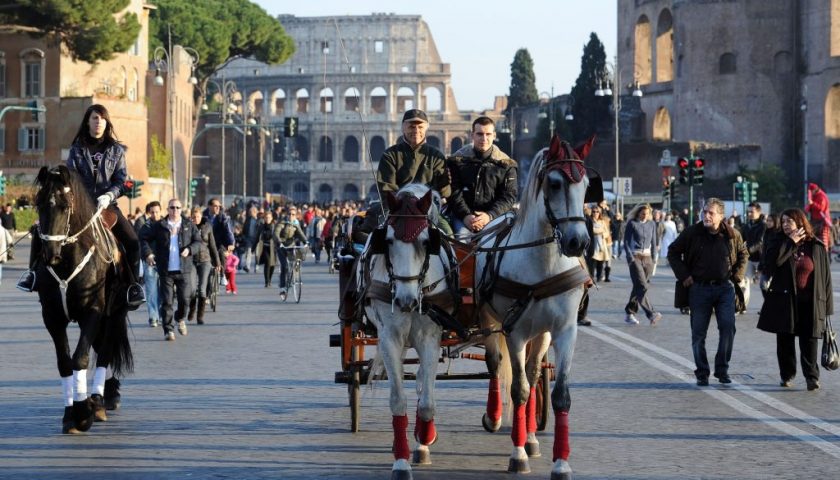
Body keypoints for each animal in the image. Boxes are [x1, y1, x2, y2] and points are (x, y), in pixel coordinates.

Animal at [34, 166, 133, 436]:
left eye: (65, 205)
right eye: (38, 204)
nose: (50, 254)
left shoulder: (94, 311)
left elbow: (80, 358)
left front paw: (82, 413)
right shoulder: (52, 317)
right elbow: (65, 362)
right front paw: (70, 414)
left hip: (115, 312)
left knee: (106, 352)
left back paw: (97, 402)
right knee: (99, 349)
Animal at [358, 184, 456, 480]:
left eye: (426, 242)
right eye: (388, 241)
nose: (405, 301)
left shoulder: (430, 338)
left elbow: (426, 403)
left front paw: (424, 437)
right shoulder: (389, 337)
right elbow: (397, 400)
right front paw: (400, 461)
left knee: (423, 381)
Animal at [472, 136, 596, 480]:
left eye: (587, 185)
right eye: (554, 183)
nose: (578, 242)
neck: (543, 265)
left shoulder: (564, 331)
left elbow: (559, 395)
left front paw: (560, 462)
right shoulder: (514, 330)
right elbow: (520, 390)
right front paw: (517, 456)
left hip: (540, 334)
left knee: (531, 370)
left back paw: (529, 436)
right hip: (490, 320)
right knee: (496, 363)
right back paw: (495, 418)